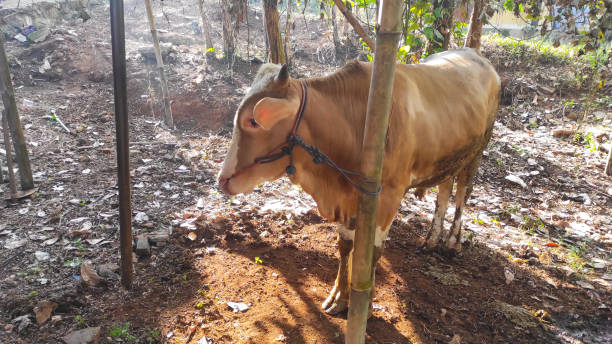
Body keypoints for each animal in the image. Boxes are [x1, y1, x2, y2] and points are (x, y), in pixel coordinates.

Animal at [218, 48, 500, 314]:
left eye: (253, 120)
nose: (222, 179)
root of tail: (476, 55)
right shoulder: (349, 197)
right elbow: (345, 245)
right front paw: (340, 297)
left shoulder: (388, 196)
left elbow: (374, 250)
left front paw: (366, 297)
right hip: (450, 157)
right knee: (444, 189)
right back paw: (431, 239)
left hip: (476, 153)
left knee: (462, 193)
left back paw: (452, 242)